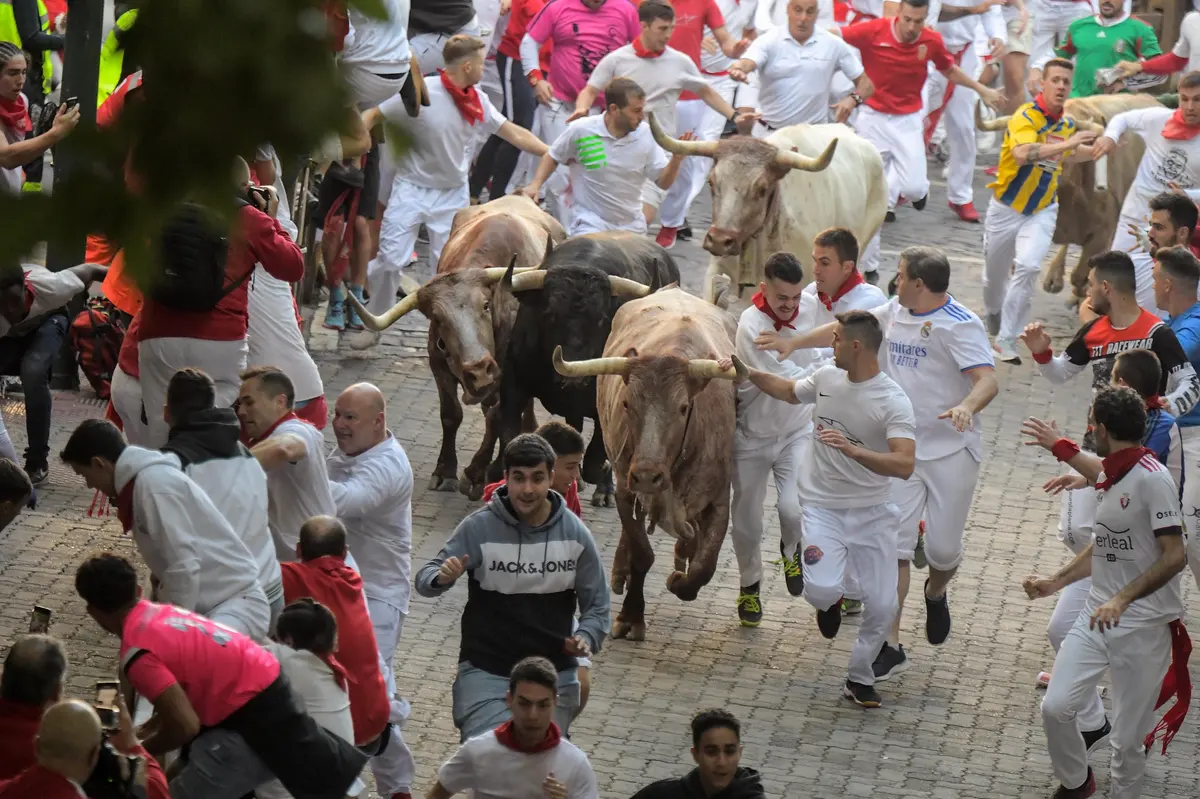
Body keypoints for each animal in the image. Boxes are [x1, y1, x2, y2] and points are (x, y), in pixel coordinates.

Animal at [348, 194, 566, 499]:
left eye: (485, 305)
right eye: (438, 319)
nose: (479, 370)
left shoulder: (509, 374)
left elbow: (499, 415)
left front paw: (477, 473)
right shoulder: (437, 362)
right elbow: (451, 415)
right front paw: (445, 471)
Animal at [484, 231, 676, 503]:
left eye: (602, 319)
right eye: (549, 314)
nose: (573, 372)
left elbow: (597, 458)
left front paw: (601, 475)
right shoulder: (514, 384)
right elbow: (510, 431)